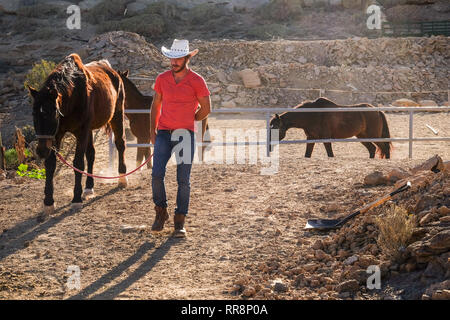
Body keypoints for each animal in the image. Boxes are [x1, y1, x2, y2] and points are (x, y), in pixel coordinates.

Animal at [27, 53, 127, 215]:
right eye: (34, 114)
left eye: (53, 114)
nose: (41, 151)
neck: (72, 96)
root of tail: (113, 71)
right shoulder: (56, 135)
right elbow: (51, 164)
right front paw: (48, 202)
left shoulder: (81, 132)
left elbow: (78, 162)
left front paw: (76, 199)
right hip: (90, 130)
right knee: (91, 154)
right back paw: (89, 188)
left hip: (117, 116)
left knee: (120, 144)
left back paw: (122, 179)